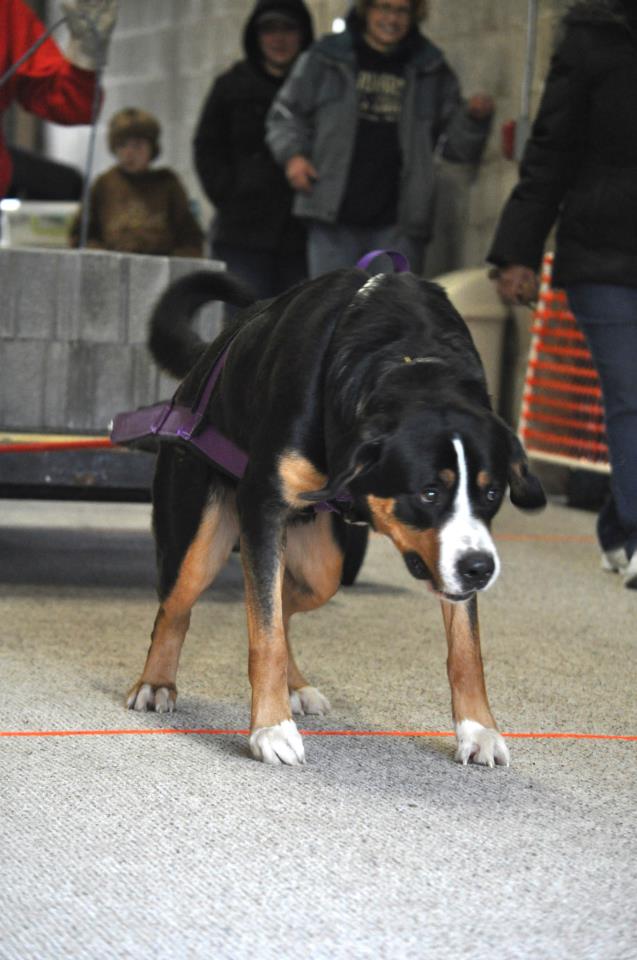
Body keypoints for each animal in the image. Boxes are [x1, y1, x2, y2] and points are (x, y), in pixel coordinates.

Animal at [126, 266, 544, 768]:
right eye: (427, 493)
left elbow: (467, 649)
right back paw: (157, 682)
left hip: (323, 562)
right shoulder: (262, 506)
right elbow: (264, 635)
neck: (406, 355)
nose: (480, 569)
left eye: (491, 493)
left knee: (289, 600)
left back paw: (296, 685)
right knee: (176, 608)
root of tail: (205, 364)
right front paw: (271, 726)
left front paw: (478, 728)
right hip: (199, 539)